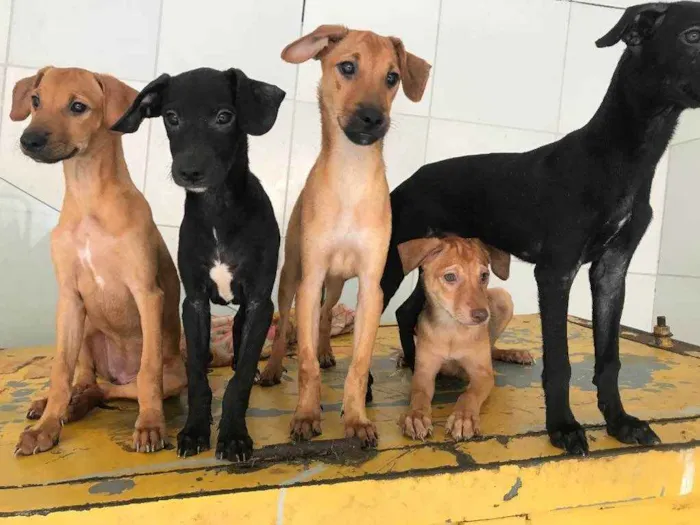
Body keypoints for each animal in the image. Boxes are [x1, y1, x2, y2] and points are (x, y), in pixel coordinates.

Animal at [10, 67, 186, 454]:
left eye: (78, 106)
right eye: (36, 100)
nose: (28, 140)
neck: (89, 198)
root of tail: (118, 371)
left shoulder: (147, 293)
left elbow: (148, 372)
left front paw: (150, 426)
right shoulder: (70, 299)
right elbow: (60, 372)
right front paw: (45, 428)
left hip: (173, 377)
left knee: (116, 388)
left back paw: (81, 405)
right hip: (87, 328)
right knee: (86, 380)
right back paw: (59, 404)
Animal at [113, 67, 284, 460]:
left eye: (224, 116)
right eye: (171, 117)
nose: (189, 172)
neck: (217, 209)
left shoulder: (259, 302)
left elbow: (241, 376)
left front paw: (234, 435)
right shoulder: (193, 302)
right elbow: (195, 375)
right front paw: (193, 430)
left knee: (239, 343)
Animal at [260, 26, 430, 444]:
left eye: (392, 77)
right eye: (348, 67)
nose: (373, 117)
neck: (352, 177)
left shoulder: (371, 286)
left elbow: (359, 361)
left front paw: (355, 418)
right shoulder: (311, 279)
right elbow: (304, 360)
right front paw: (306, 415)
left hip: (337, 283)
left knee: (324, 315)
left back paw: (325, 350)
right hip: (291, 276)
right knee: (285, 323)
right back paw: (271, 369)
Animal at [396, 235, 528, 440]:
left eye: (484, 276)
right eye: (450, 277)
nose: (483, 316)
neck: (453, 330)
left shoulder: (483, 374)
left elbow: (468, 395)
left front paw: (464, 418)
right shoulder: (424, 372)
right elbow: (419, 394)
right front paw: (415, 416)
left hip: (503, 297)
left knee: (492, 347)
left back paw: (514, 354)